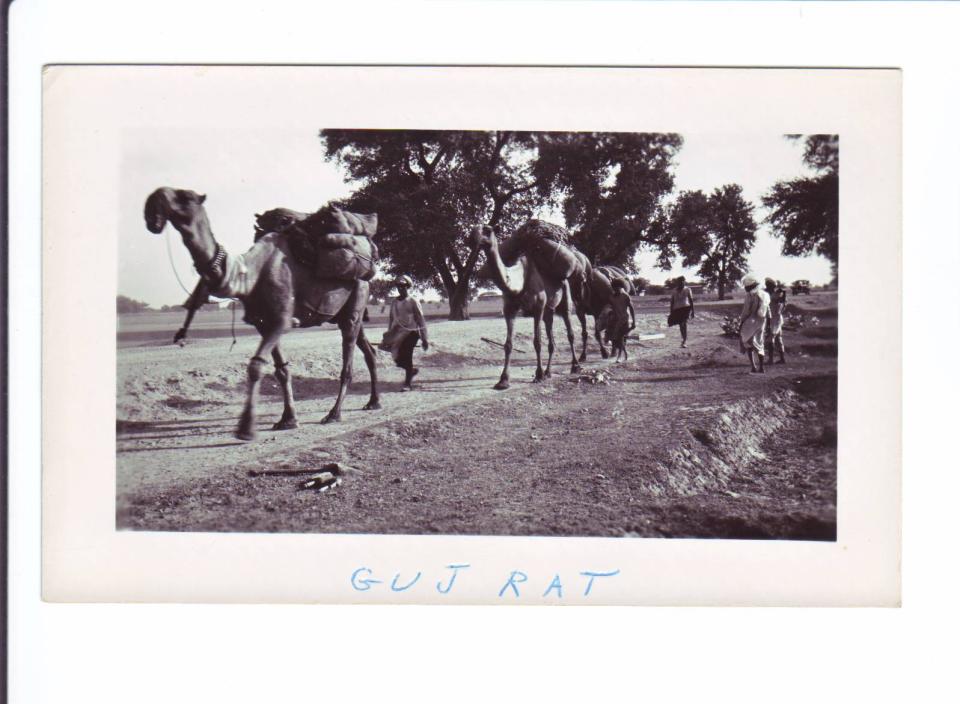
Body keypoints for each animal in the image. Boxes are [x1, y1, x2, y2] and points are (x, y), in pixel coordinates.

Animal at [144, 187, 380, 440]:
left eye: (185, 197)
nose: (152, 206)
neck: (249, 273)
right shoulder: (263, 322)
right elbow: (282, 370)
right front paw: (288, 419)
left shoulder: (281, 319)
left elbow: (256, 366)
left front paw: (246, 428)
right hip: (347, 311)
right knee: (369, 350)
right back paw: (373, 402)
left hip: (357, 297)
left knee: (347, 363)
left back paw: (334, 414)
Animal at [468, 221, 580, 390]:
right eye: (473, 229)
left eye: (487, 230)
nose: (471, 238)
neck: (518, 281)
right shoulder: (509, 309)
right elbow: (508, 344)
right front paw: (503, 380)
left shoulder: (538, 307)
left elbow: (537, 342)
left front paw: (538, 375)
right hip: (549, 310)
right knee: (551, 339)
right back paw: (548, 372)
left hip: (565, 298)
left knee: (570, 333)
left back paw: (575, 366)